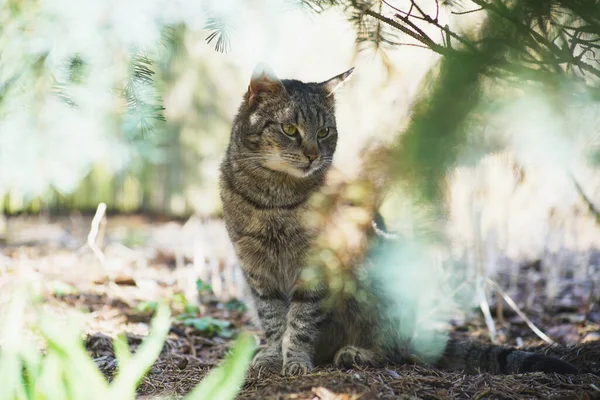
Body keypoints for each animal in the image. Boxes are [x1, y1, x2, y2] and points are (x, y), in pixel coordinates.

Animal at [219, 64, 576, 376]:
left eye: (323, 132)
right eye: (290, 130)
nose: (312, 155)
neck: (274, 199)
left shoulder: (316, 264)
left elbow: (301, 320)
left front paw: (294, 359)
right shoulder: (255, 269)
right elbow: (273, 319)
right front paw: (271, 355)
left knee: (395, 350)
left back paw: (358, 353)